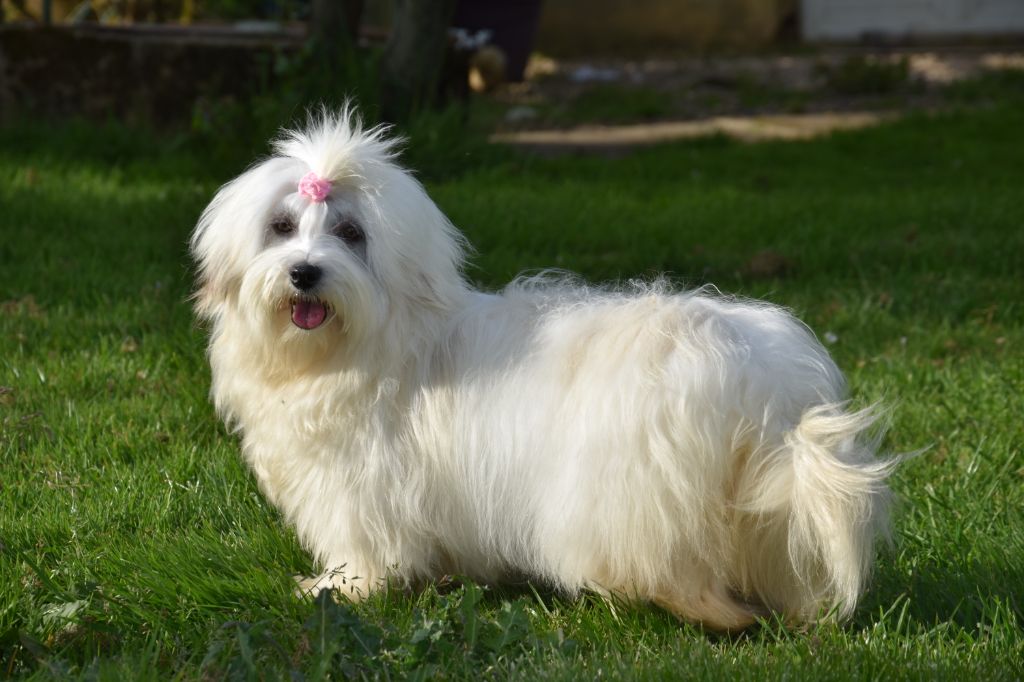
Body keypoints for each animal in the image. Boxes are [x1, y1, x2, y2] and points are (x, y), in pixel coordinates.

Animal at [192, 110, 897, 626]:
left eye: (350, 234)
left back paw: (695, 610)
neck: (366, 344)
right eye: (282, 227)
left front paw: (342, 588)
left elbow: (365, 547)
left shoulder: (359, 484)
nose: (304, 272)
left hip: (632, 485)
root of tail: (760, 381)